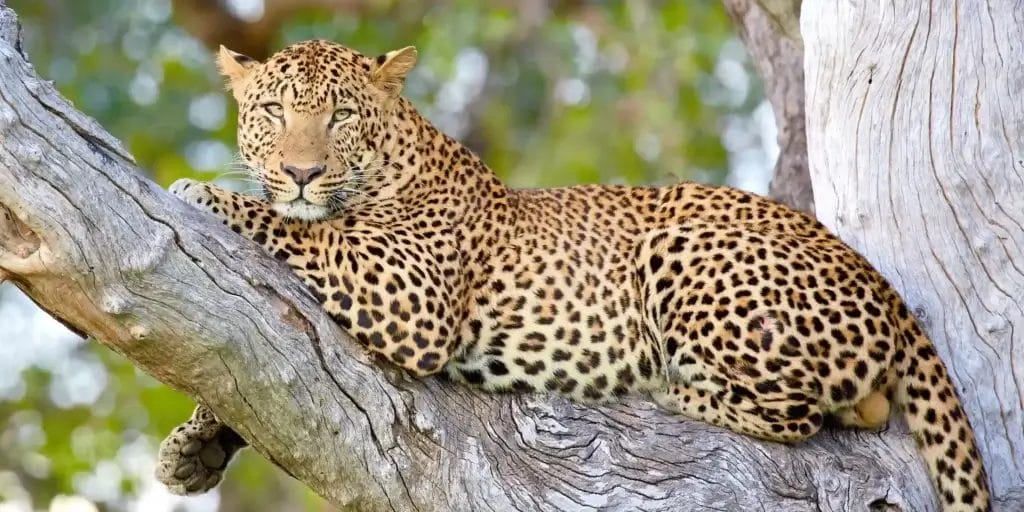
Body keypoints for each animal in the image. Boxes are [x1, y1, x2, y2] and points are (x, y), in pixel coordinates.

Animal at [155, 39, 990, 511]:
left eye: (341, 116)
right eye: (272, 111)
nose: (300, 172)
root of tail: (881, 282)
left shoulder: (409, 289)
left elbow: (299, 234)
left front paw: (201, 191)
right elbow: (250, 367)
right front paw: (195, 445)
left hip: (684, 246)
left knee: (802, 414)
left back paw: (670, 387)